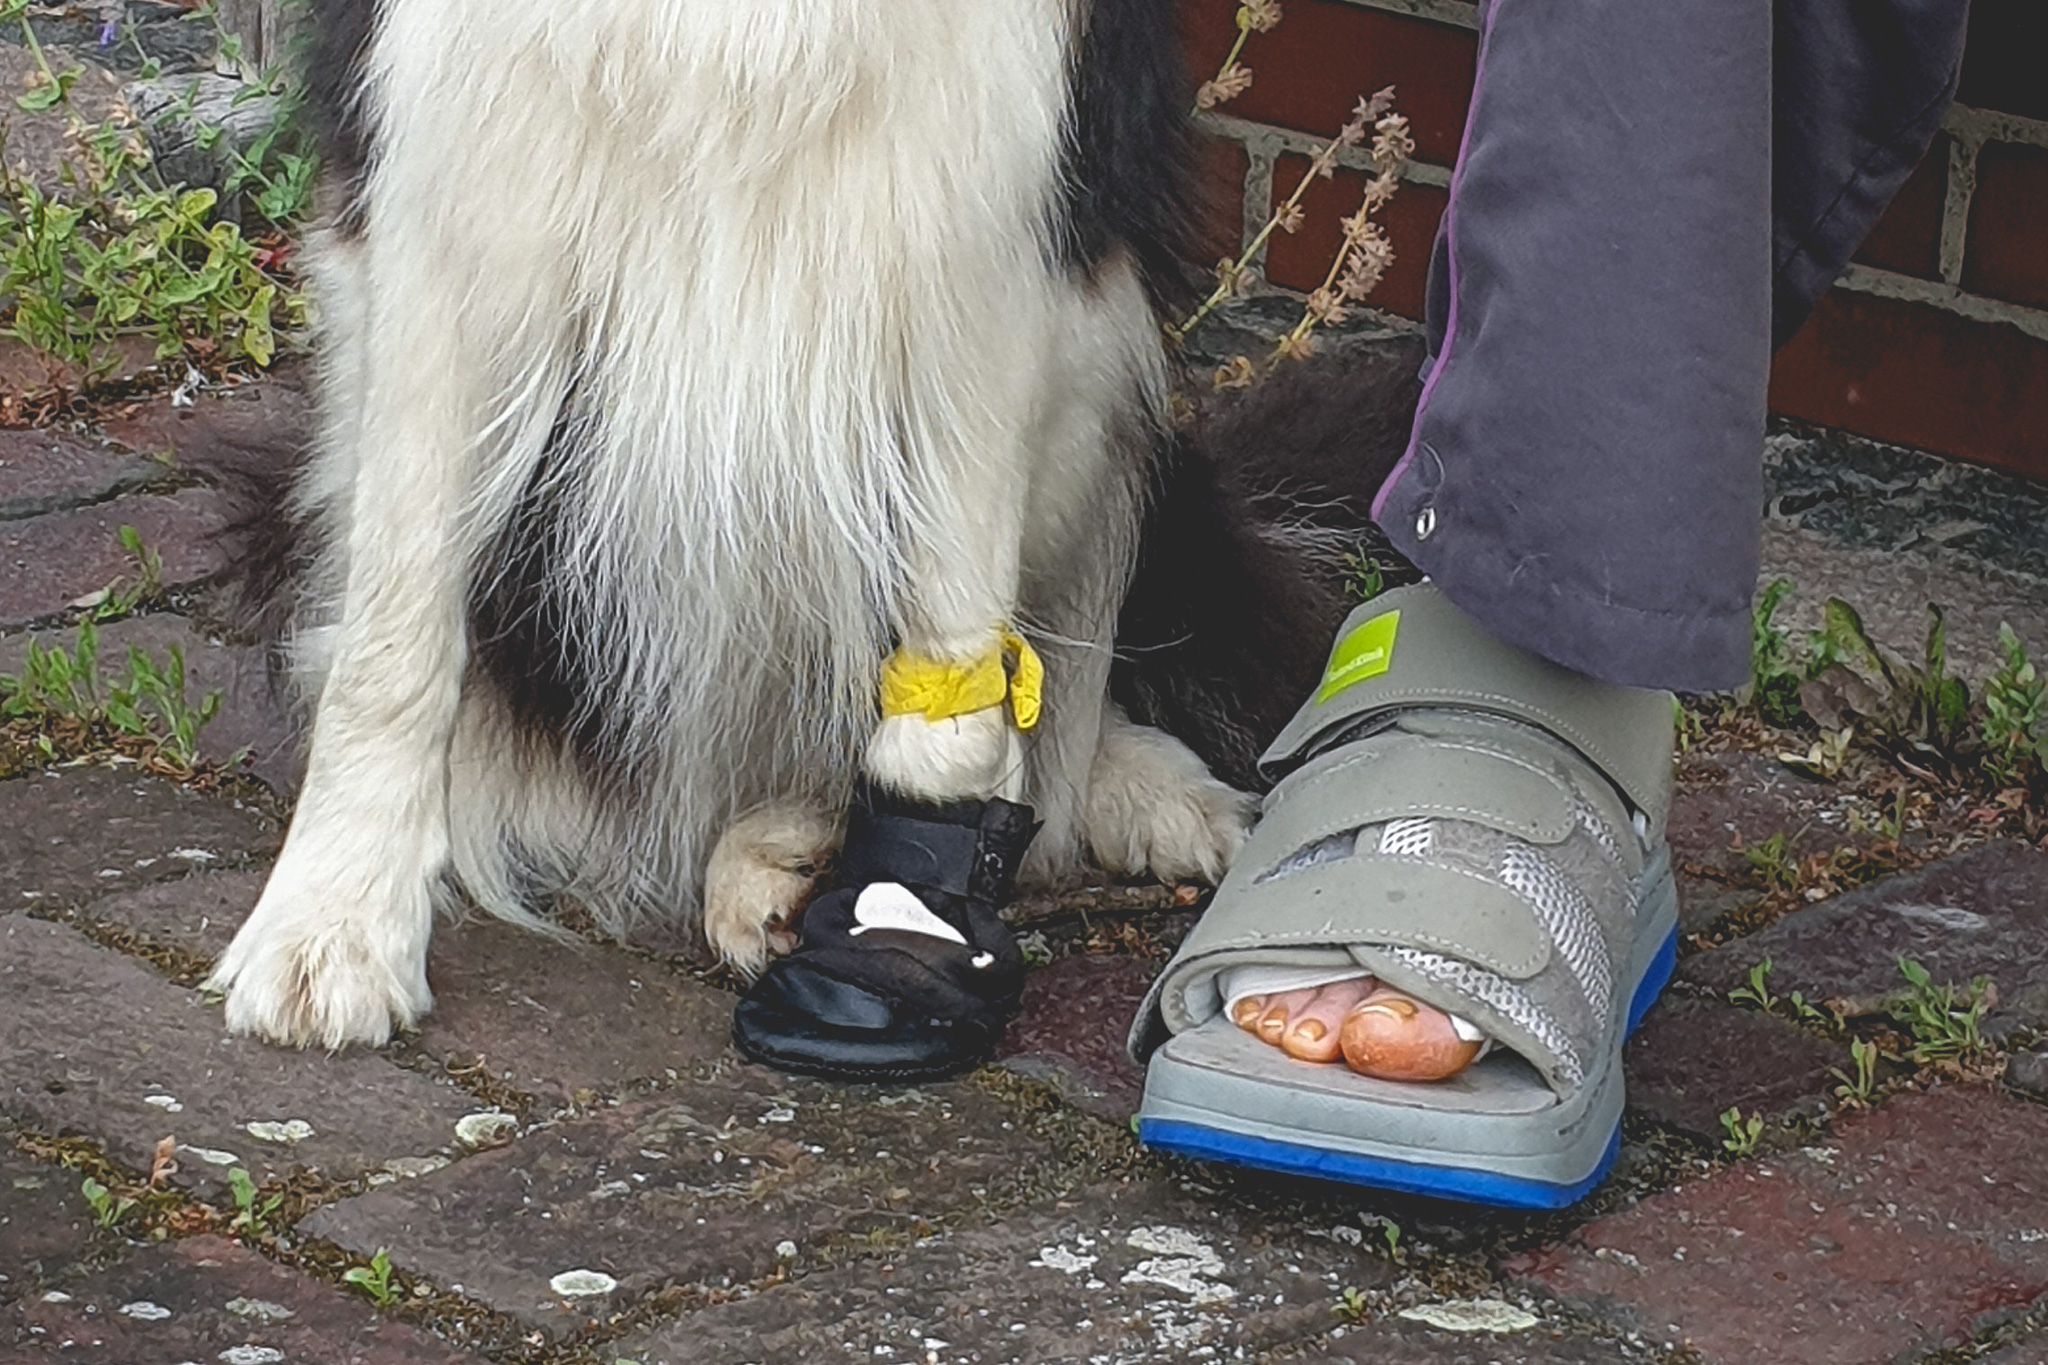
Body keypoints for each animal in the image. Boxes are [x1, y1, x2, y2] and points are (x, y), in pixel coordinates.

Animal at [211, 0, 1261, 1055]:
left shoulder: (984, 242)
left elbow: (957, 691)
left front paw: (905, 931)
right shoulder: (452, 196)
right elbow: (394, 639)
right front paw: (333, 924)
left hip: (1096, 374)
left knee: (1059, 696)